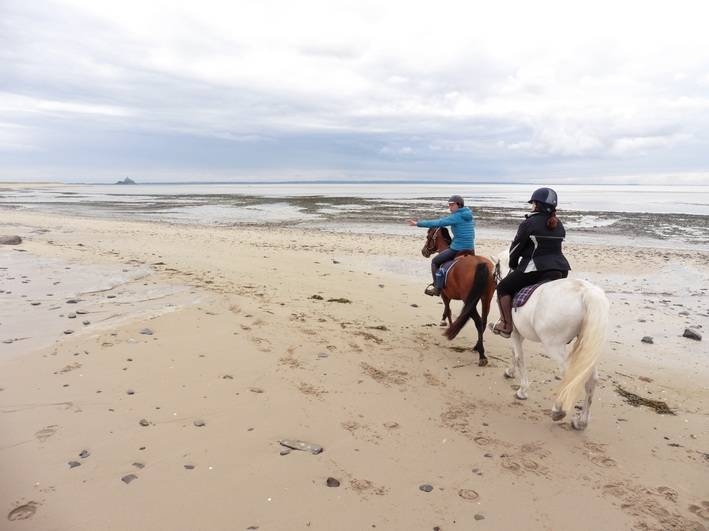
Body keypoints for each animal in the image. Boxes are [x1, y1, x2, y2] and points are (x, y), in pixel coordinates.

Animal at [424, 229, 496, 366]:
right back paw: (476, 347)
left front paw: (446, 322)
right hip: (486, 298)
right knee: (483, 321)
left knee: (478, 322)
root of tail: (481, 263)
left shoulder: (444, 294)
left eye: (428, 236)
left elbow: (448, 308)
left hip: (469, 300)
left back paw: (481, 355)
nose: (424, 251)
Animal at [486, 251, 608, 430]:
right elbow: (514, 353)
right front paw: (510, 372)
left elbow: (518, 356)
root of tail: (586, 292)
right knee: (591, 379)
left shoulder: (515, 334)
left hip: (554, 345)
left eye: (496, 268)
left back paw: (558, 410)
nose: (495, 280)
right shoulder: (517, 334)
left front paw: (522, 390)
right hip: (587, 347)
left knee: (570, 375)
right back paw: (581, 421)